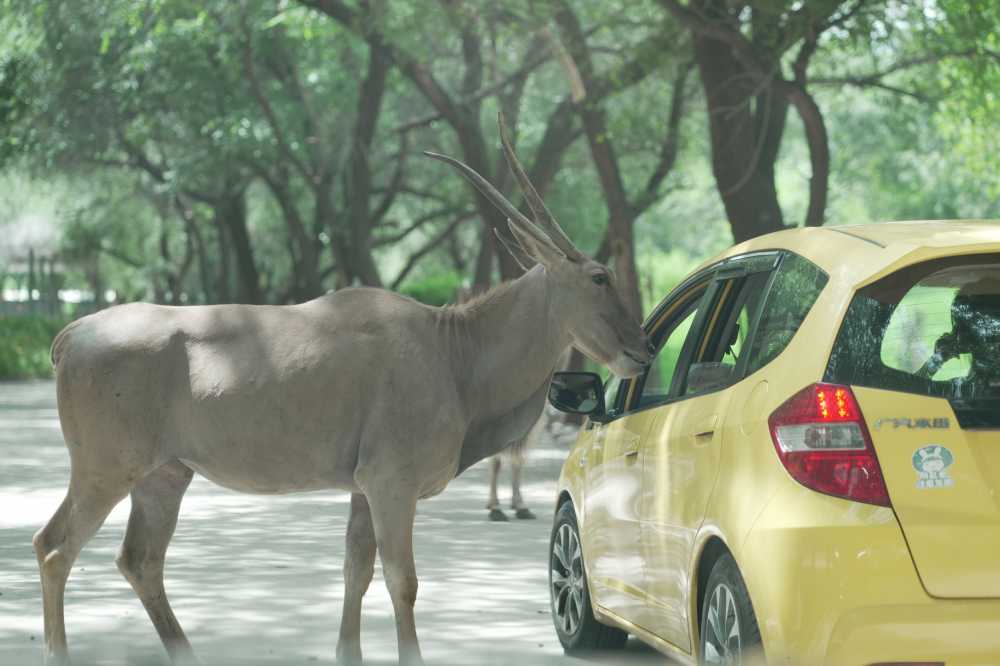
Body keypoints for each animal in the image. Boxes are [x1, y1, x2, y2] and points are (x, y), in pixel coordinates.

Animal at [32, 113, 652, 666]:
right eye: (599, 277)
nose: (643, 349)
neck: (453, 349)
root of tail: (70, 335)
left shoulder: (363, 489)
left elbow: (356, 571)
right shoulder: (390, 485)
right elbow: (402, 580)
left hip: (164, 477)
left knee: (138, 559)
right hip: (106, 472)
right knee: (55, 548)